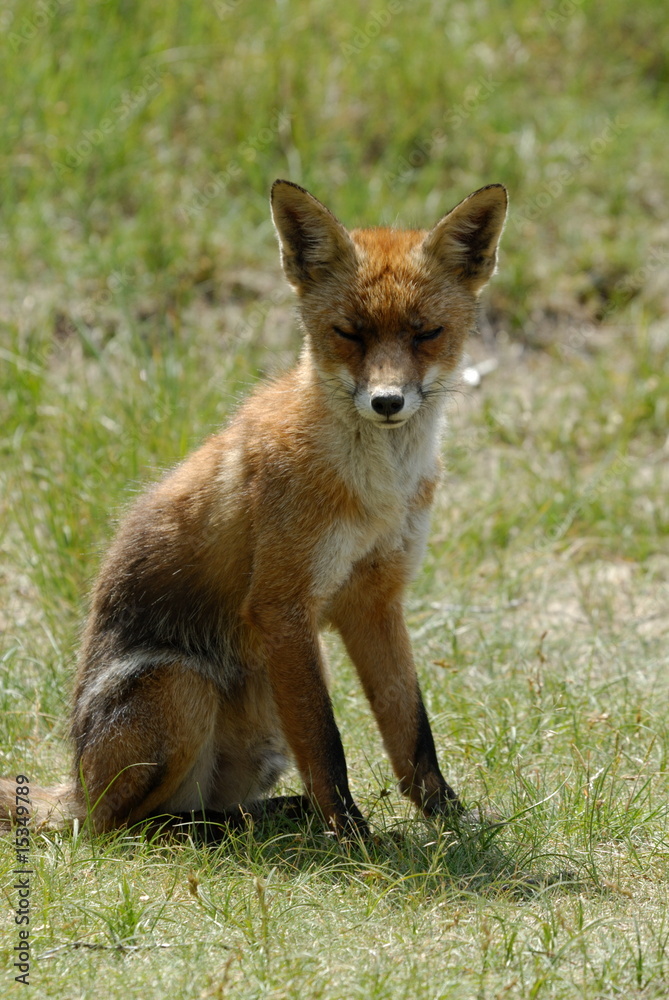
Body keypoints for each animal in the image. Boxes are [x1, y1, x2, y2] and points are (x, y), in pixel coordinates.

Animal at [0, 178, 506, 836]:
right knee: (123, 826)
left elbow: (412, 730)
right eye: (349, 333)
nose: (387, 402)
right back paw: (219, 833)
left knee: (206, 802)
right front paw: (354, 837)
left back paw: (273, 816)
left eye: (426, 333)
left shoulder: (375, 596)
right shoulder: (283, 605)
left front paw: (451, 821)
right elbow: (327, 741)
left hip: (264, 726)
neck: (379, 491)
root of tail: (74, 786)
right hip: (183, 687)